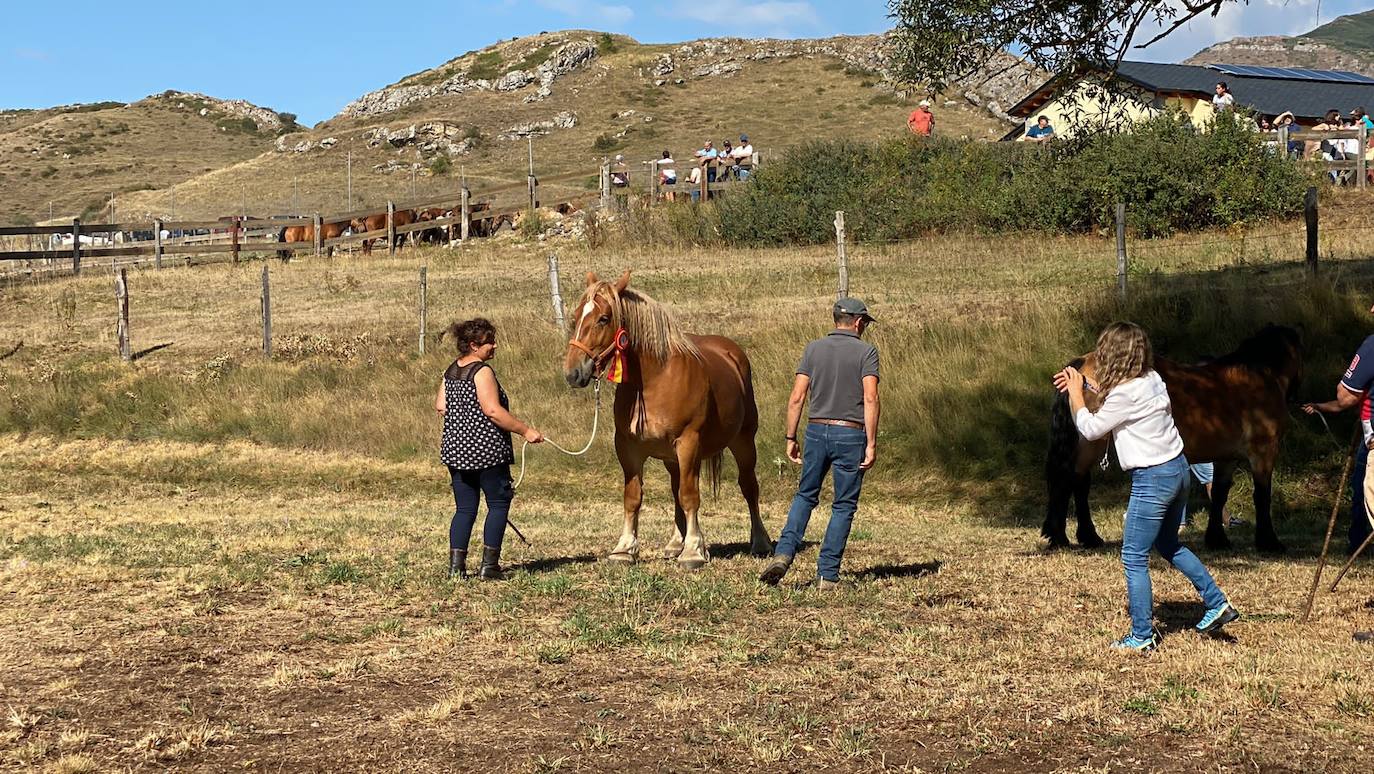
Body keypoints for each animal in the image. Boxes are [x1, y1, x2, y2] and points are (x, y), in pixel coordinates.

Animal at [560, 272, 774, 569]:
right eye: (577, 316)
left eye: (604, 318)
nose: (573, 373)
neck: (655, 380)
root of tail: (732, 352)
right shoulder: (628, 447)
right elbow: (633, 497)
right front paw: (624, 549)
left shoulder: (688, 443)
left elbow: (690, 496)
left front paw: (694, 551)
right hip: (672, 458)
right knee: (675, 490)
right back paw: (675, 544)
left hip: (743, 441)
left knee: (748, 486)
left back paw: (760, 542)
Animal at [1044, 324, 1302, 555]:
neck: (1260, 377)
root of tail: (1082, 364)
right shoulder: (1263, 452)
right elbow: (1262, 495)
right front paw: (1269, 542)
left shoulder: (1225, 458)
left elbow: (1219, 494)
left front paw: (1217, 539)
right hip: (1090, 442)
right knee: (1073, 481)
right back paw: (1072, 537)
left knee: (1076, 482)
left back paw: (1080, 537)